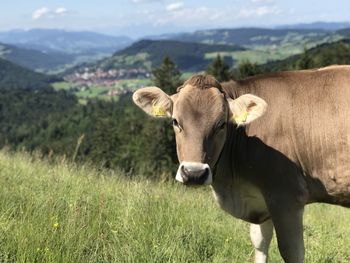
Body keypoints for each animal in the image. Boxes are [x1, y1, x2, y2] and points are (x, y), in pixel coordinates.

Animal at [133, 65, 350, 263]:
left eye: (221, 124)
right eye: (176, 122)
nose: (194, 173)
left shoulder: (286, 197)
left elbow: (291, 252)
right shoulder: (261, 199)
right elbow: (260, 243)